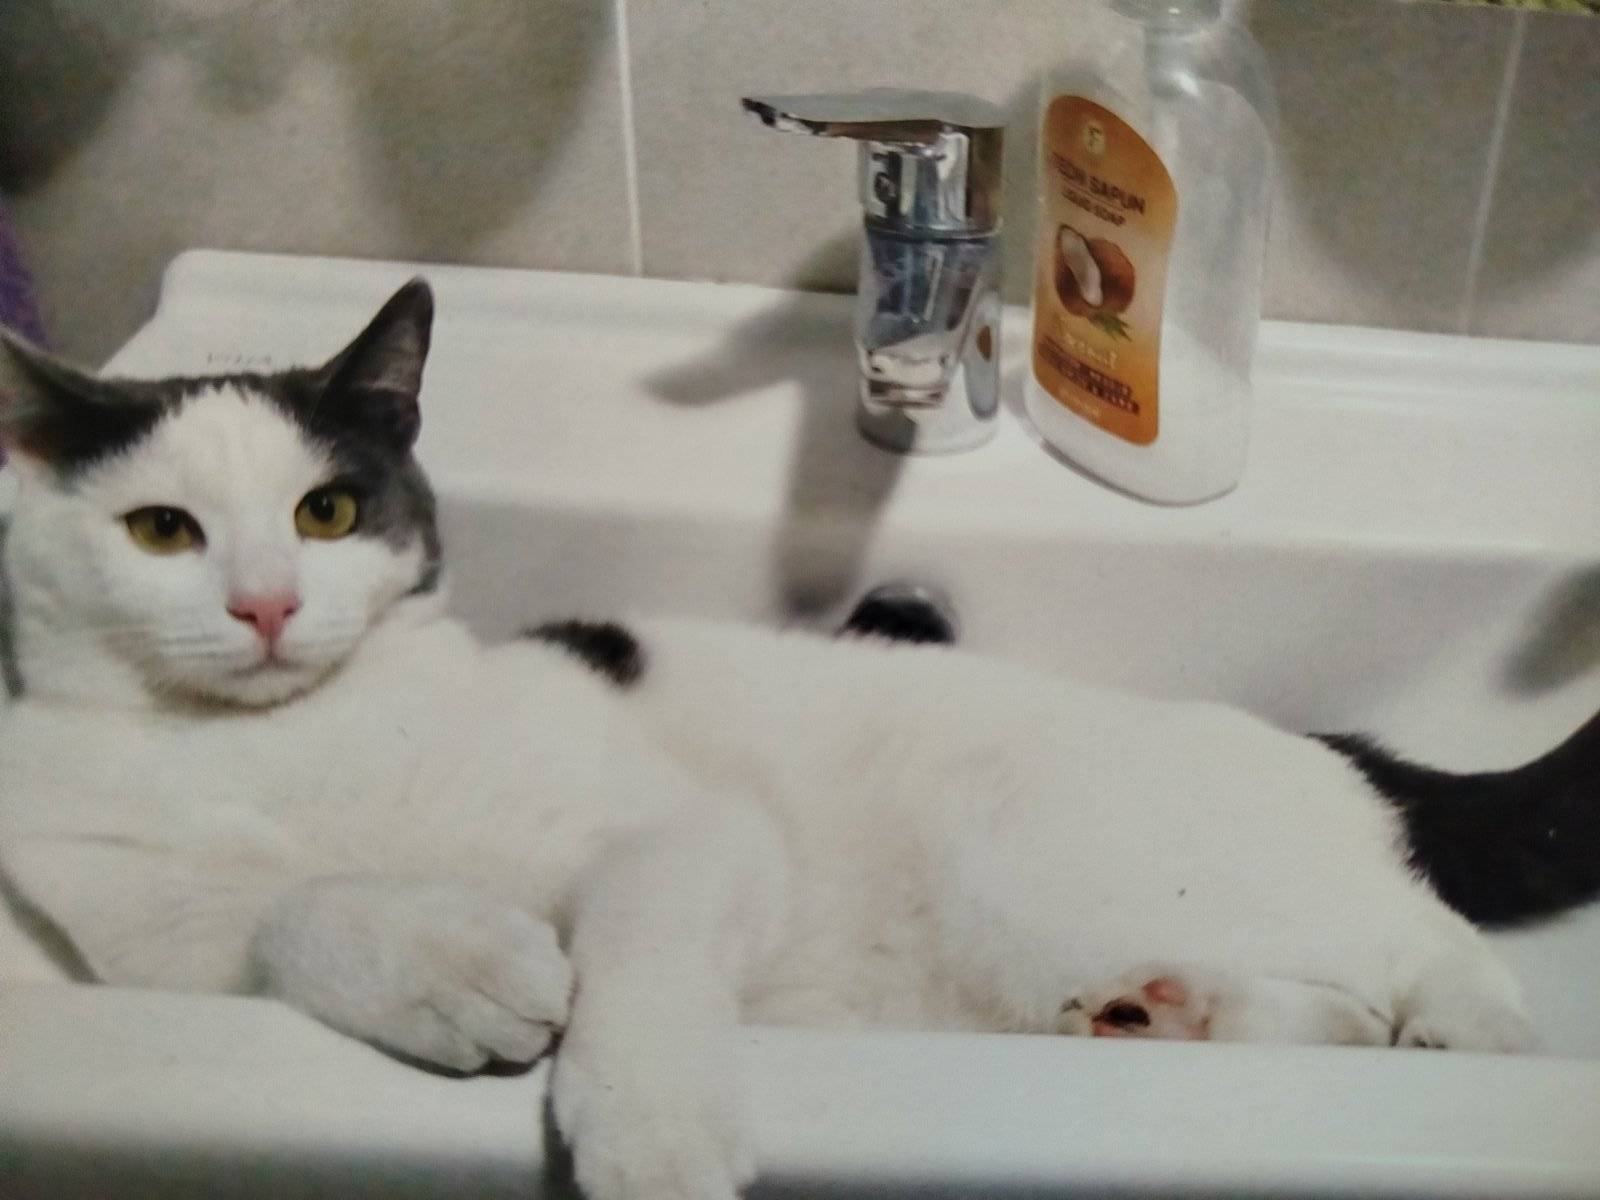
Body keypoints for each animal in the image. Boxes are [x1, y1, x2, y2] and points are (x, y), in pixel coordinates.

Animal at [1, 280, 1596, 1200]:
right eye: (162, 530)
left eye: (325, 510)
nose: (266, 605)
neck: (280, 754)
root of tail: (1320, 745)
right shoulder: (168, 956)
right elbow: (291, 918)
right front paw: (452, 965)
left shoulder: (689, 836)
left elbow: (636, 960)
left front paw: (645, 1133)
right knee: (1333, 1010)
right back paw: (1163, 1016)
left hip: (1071, 862)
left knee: (1436, 960)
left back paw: (1451, 1034)